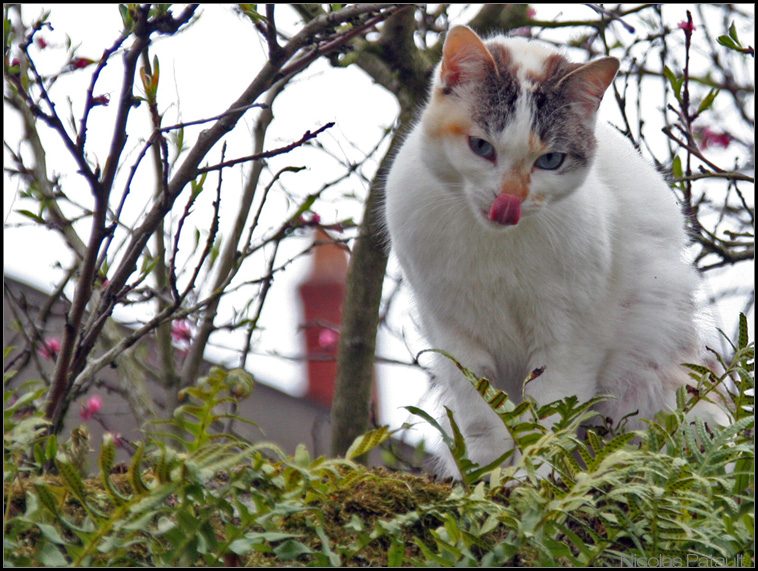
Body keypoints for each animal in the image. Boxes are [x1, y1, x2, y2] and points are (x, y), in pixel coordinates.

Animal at [386, 24, 732, 476]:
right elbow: (479, 414)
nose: (508, 201)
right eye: (481, 147)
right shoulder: (452, 329)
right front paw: (485, 475)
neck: (495, 247)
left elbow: (550, 412)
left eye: (550, 160)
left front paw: (534, 477)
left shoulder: (571, 334)